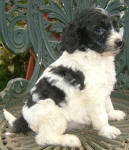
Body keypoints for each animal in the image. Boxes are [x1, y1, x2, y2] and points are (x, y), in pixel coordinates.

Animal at [3, 7, 126, 147]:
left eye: (116, 27)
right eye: (99, 29)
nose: (120, 42)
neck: (95, 56)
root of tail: (24, 118)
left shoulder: (104, 89)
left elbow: (108, 104)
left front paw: (113, 114)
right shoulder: (94, 96)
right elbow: (101, 116)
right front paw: (107, 130)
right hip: (54, 114)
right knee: (43, 138)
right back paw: (70, 140)